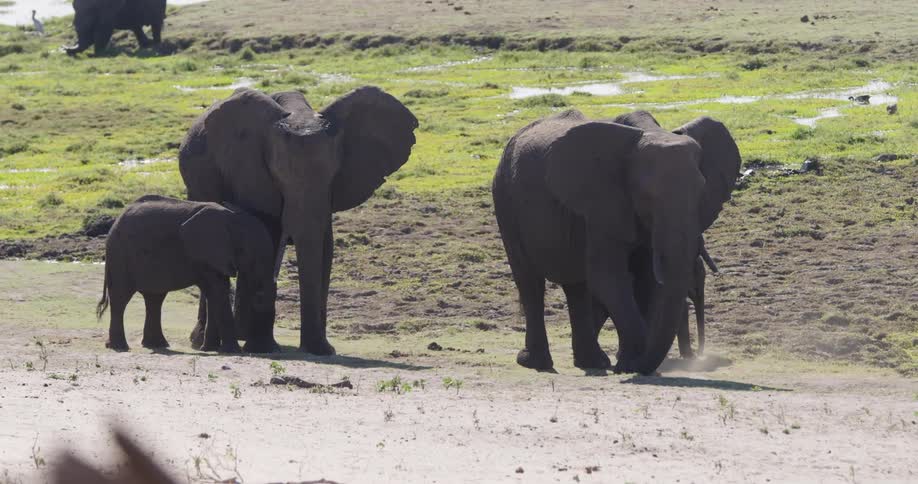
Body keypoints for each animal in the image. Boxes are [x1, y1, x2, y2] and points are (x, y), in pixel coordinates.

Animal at [96, 195, 276, 353]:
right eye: (248, 252)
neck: (231, 218)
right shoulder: (206, 253)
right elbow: (218, 292)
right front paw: (231, 351)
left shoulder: (213, 257)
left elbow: (214, 293)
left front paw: (208, 349)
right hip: (121, 256)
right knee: (121, 298)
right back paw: (120, 347)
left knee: (154, 299)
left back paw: (156, 345)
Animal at [179, 86, 418, 354]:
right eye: (278, 177)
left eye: (333, 176)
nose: (320, 349)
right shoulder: (254, 176)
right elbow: (268, 239)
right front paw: (265, 347)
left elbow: (325, 249)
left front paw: (321, 348)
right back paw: (205, 341)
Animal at [492, 109, 740, 374]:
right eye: (646, 194)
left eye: (702, 191)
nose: (702, 358)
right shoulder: (603, 202)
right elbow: (608, 276)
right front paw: (631, 364)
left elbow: (646, 279)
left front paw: (629, 362)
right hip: (505, 199)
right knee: (530, 280)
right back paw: (533, 362)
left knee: (577, 286)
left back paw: (594, 362)